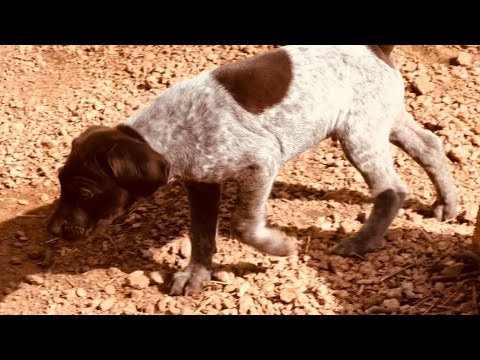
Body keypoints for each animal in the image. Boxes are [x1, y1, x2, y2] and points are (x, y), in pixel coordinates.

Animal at [47, 45, 458, 296]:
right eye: (61, 184)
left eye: (85, 191)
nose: (51, 230)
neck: (165, 133)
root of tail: (376, 49)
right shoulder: (201, 183)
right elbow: (201, 236)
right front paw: (196, 275)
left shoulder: (260, 161)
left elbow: (244, 225)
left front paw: (280, 246)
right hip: (382, 120)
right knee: (430, 145)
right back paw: (449, 204)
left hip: (359, 135)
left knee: (393, 189)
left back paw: (362, 242)